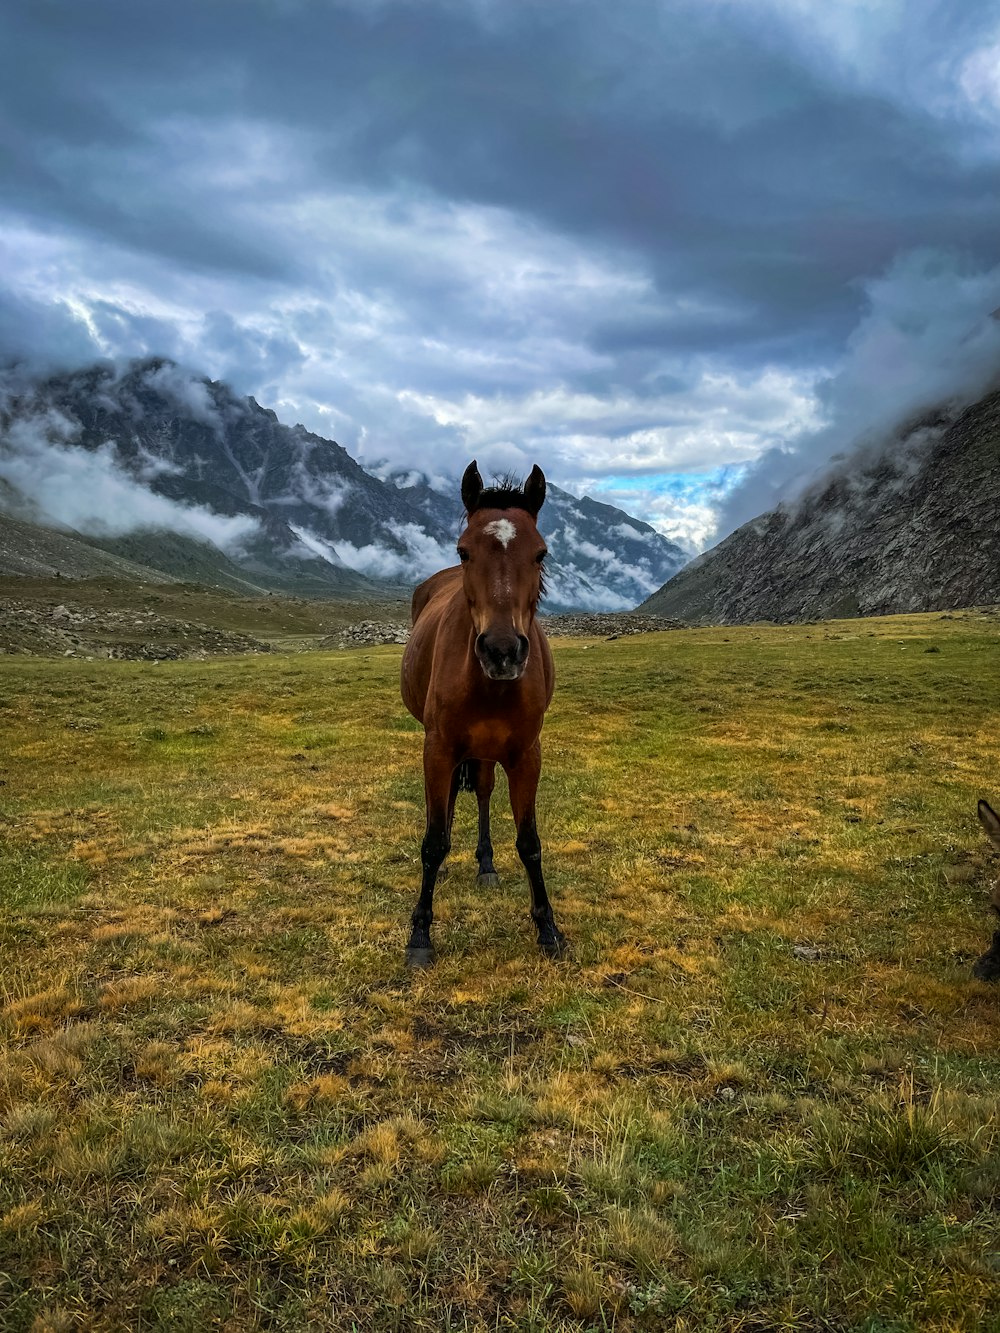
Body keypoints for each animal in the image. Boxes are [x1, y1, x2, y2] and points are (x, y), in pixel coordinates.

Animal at [402, 463, 570, 965]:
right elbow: (433, 840)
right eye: (464, 551)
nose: (502, 650)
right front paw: (420, 934)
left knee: (480, 791)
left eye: (540, 553)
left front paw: (547, 928)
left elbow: (530, 843)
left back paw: (485, 863)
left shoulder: (525, 755)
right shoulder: (438, 749)